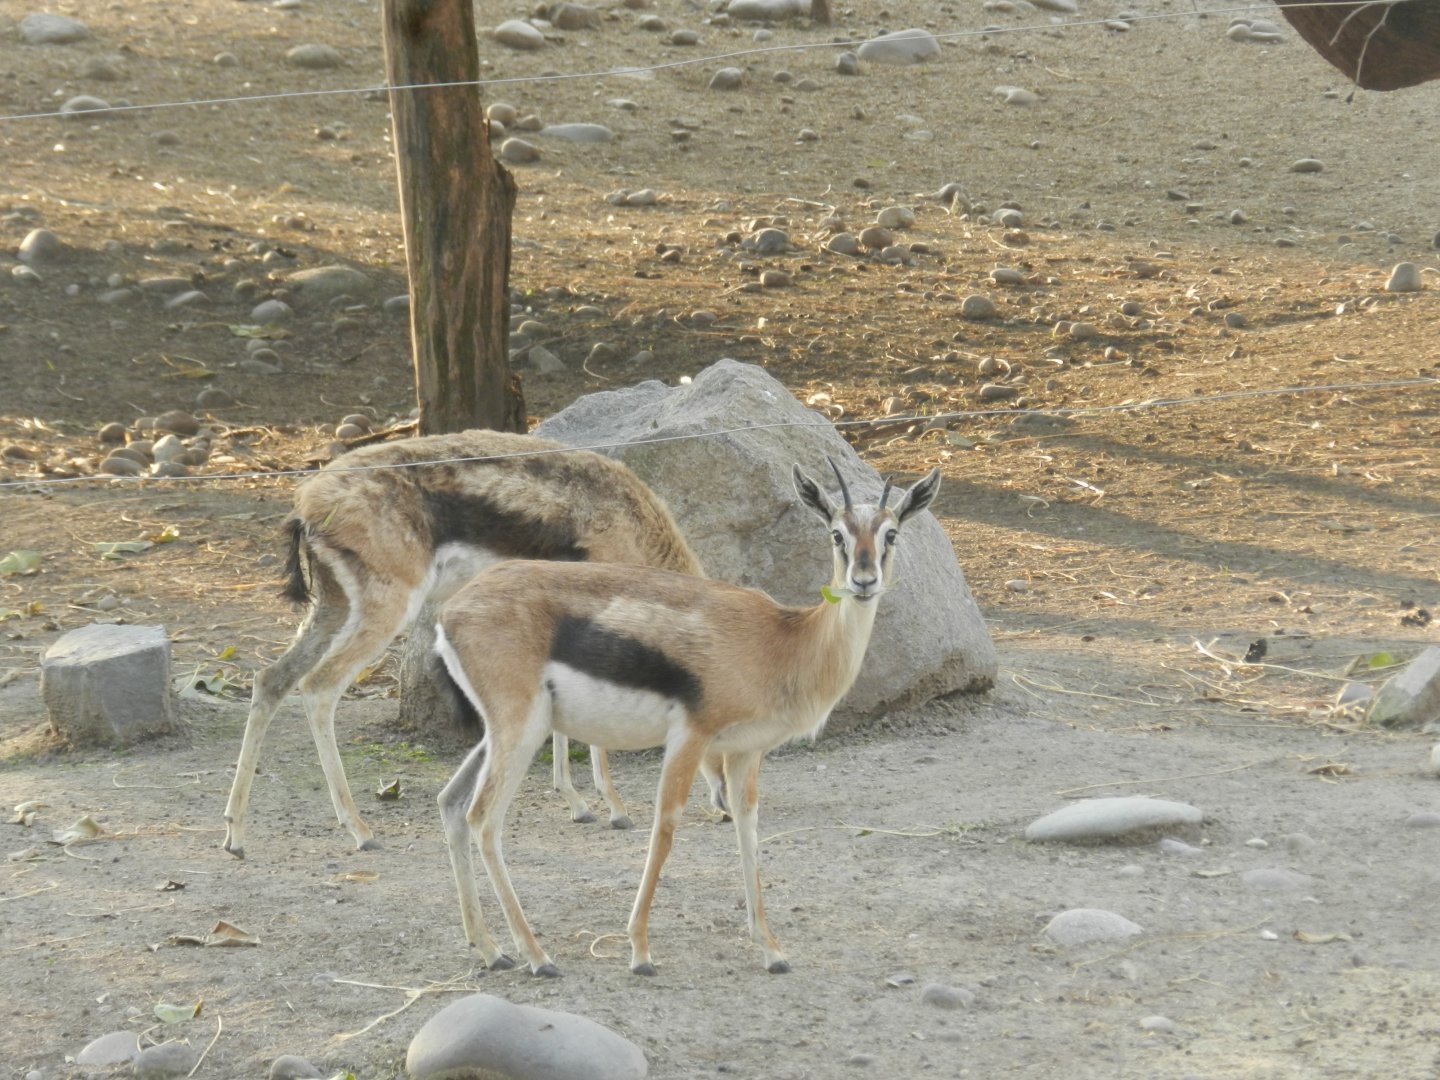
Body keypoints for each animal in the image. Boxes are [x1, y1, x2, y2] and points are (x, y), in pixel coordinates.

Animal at [222, 430, 712, 858]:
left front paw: (577, 803)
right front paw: (613, 808)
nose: (722, 806)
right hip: (386, 610)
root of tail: (308, 501)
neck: (630, 519)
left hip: (333, 607)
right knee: (319, 687)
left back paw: (236, 834)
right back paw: (361, 831)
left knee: (271, 679)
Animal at [432, 461, 941, 976]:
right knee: (483, 819)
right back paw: (537, 957)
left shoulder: (745, 751)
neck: (782, 641)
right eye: (837, 533)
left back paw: (490, 948)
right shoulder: (691, 737)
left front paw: (771, 950)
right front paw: (639, 951)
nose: (864, 579)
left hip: (501, 733)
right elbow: (666, 827)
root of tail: (451, 611)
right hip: (521, 729)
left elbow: (747, 826)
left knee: (452, 802)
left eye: (891, 533)